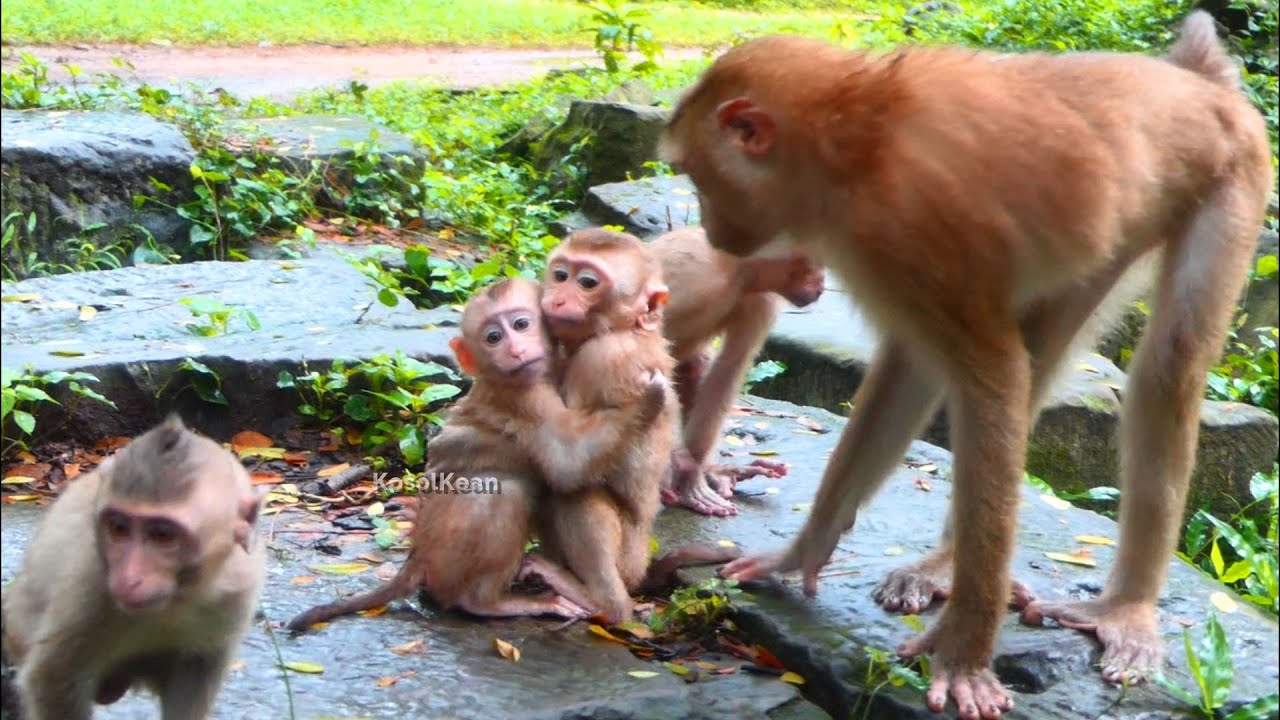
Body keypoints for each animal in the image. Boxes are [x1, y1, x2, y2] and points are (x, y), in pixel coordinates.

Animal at [1, 415, 266, 720]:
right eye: (118, 528)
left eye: (162, 534)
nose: (129, 578)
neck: (179, 597)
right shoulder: (91, 583)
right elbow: (54, 678)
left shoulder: (238, 589)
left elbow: (197, 670)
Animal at [287, 278, 666, 632]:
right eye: (493, 337)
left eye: (521, 325)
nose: (514, 349)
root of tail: (417, 553)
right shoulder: (523, 397)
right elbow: (567, 464)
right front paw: (649, 397)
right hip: (445, 553)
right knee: (504, 489)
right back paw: (487, 602)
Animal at [649, 226, 825, 516]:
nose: (822, 284)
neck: (735, 269)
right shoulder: (692, 277)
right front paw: (679, 471)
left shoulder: (760, 299)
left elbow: (728, 369)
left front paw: (692, 478)